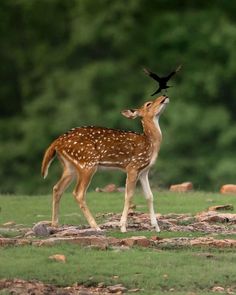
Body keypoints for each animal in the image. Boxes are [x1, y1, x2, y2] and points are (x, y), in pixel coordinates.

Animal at [41, 96, 169, 232]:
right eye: (148, 104)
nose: (164, 96)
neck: (150, 144)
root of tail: (56, 142)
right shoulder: (133, 166)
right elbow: (129, 195)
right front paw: (122, 227)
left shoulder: (144, 171)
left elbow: (149, 196)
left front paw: (156, 227)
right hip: (87, 163)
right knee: (78, 193)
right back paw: (96, 226)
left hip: (70, 167)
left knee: (57, 188)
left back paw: (55, 224)